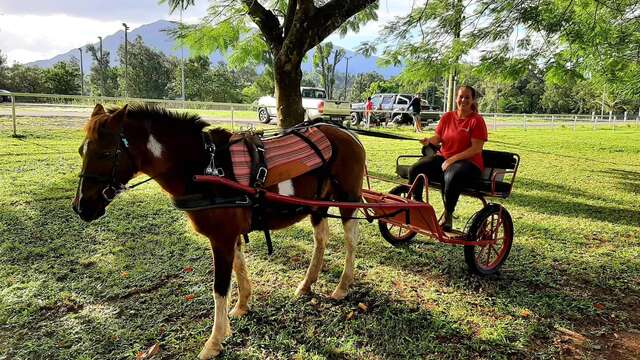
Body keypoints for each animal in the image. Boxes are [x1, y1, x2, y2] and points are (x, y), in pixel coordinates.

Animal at [70, 102, 364, 358]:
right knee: (321, 240)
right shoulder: (230, 236)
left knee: (351, 241)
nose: (81, 207)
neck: (204, 167)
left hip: (348, 200)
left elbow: (219, 287)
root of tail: (347, 133)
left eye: (106, 154)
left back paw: (342, 286)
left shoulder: (221, 238)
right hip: (317, 206)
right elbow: (239, 268)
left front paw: (214, 341)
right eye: (82, 152)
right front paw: (242, 306)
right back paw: (307, 283)